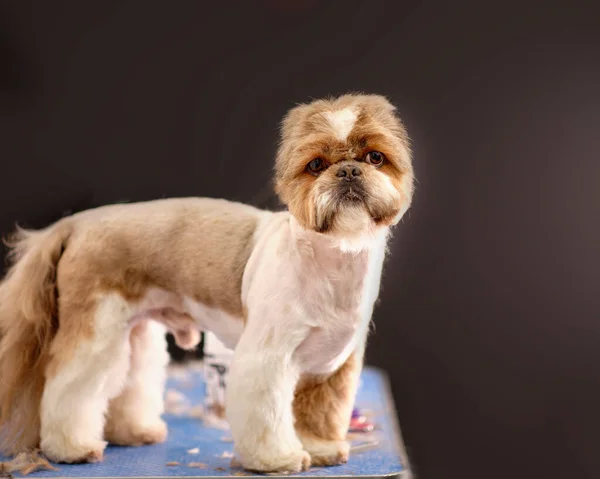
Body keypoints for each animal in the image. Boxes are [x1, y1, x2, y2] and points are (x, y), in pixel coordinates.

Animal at [0, 93, 412, 472]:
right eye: (316, 165)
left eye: (375, 157)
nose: (348, 171)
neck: (331, 265)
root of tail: (76, 224)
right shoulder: (267, 358)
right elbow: (268, 412)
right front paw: (276, 458)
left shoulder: (332, 365)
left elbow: (319, 411)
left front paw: (320, 448)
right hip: (95, 328)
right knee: (70, 388)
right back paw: (72, 448)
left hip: (133, 331)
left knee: (128, 381)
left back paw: (133, 431)